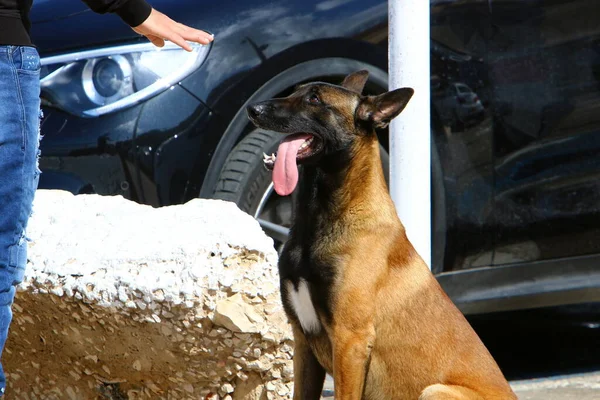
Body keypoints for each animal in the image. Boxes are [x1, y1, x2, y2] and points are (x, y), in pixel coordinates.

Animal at [246, 72, 516, 400]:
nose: (253, 109)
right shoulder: (303, 342)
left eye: (314, 99)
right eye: (296, 91)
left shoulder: (350, 341)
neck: (322, 217)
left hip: (435, 391)